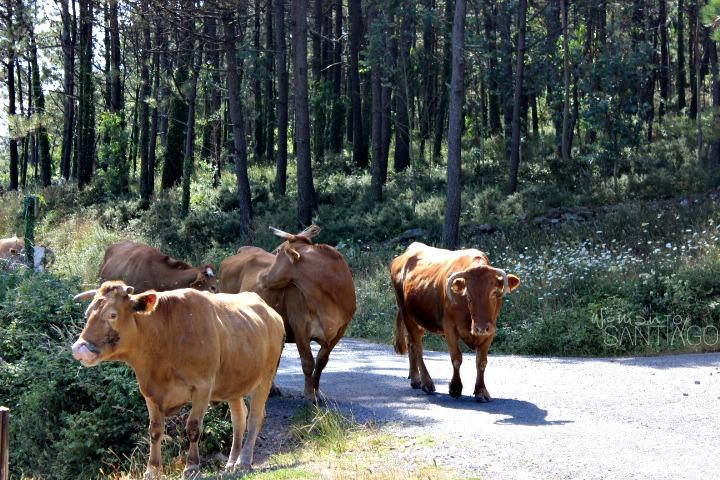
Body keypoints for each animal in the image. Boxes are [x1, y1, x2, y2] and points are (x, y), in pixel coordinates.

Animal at [71, 281, 285, 478]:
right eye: (87, 314)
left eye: (112, 315)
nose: (80, 349)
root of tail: (271, 312)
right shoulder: (150, 392)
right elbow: (155, 430)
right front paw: (152, 469)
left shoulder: (202, 387)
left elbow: (193, 427)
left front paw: (191, 466)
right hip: (234, 384)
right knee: (239, 418)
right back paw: (232, 463)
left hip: (265, 378)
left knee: (255, 417)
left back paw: (245, 461)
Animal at [220, 225, 356, 403]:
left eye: (278, 252)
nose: (261, 277)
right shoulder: (300, 327)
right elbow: (308, 362)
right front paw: (309, 395)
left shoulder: (340, 330)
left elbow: (321, 362)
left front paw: (318, 392)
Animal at [390, 242, 520, 402]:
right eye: (468, 296)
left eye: (494, 293)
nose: (481, 328)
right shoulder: (449, 327)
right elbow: (456, 358)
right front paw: (456, 388)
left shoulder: (491, 330)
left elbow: (481, 362)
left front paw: (481, 391)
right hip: (406, 313)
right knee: (417, 346)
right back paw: (427, 383)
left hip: (418, 318)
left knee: (411, 343)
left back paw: (415, 378)